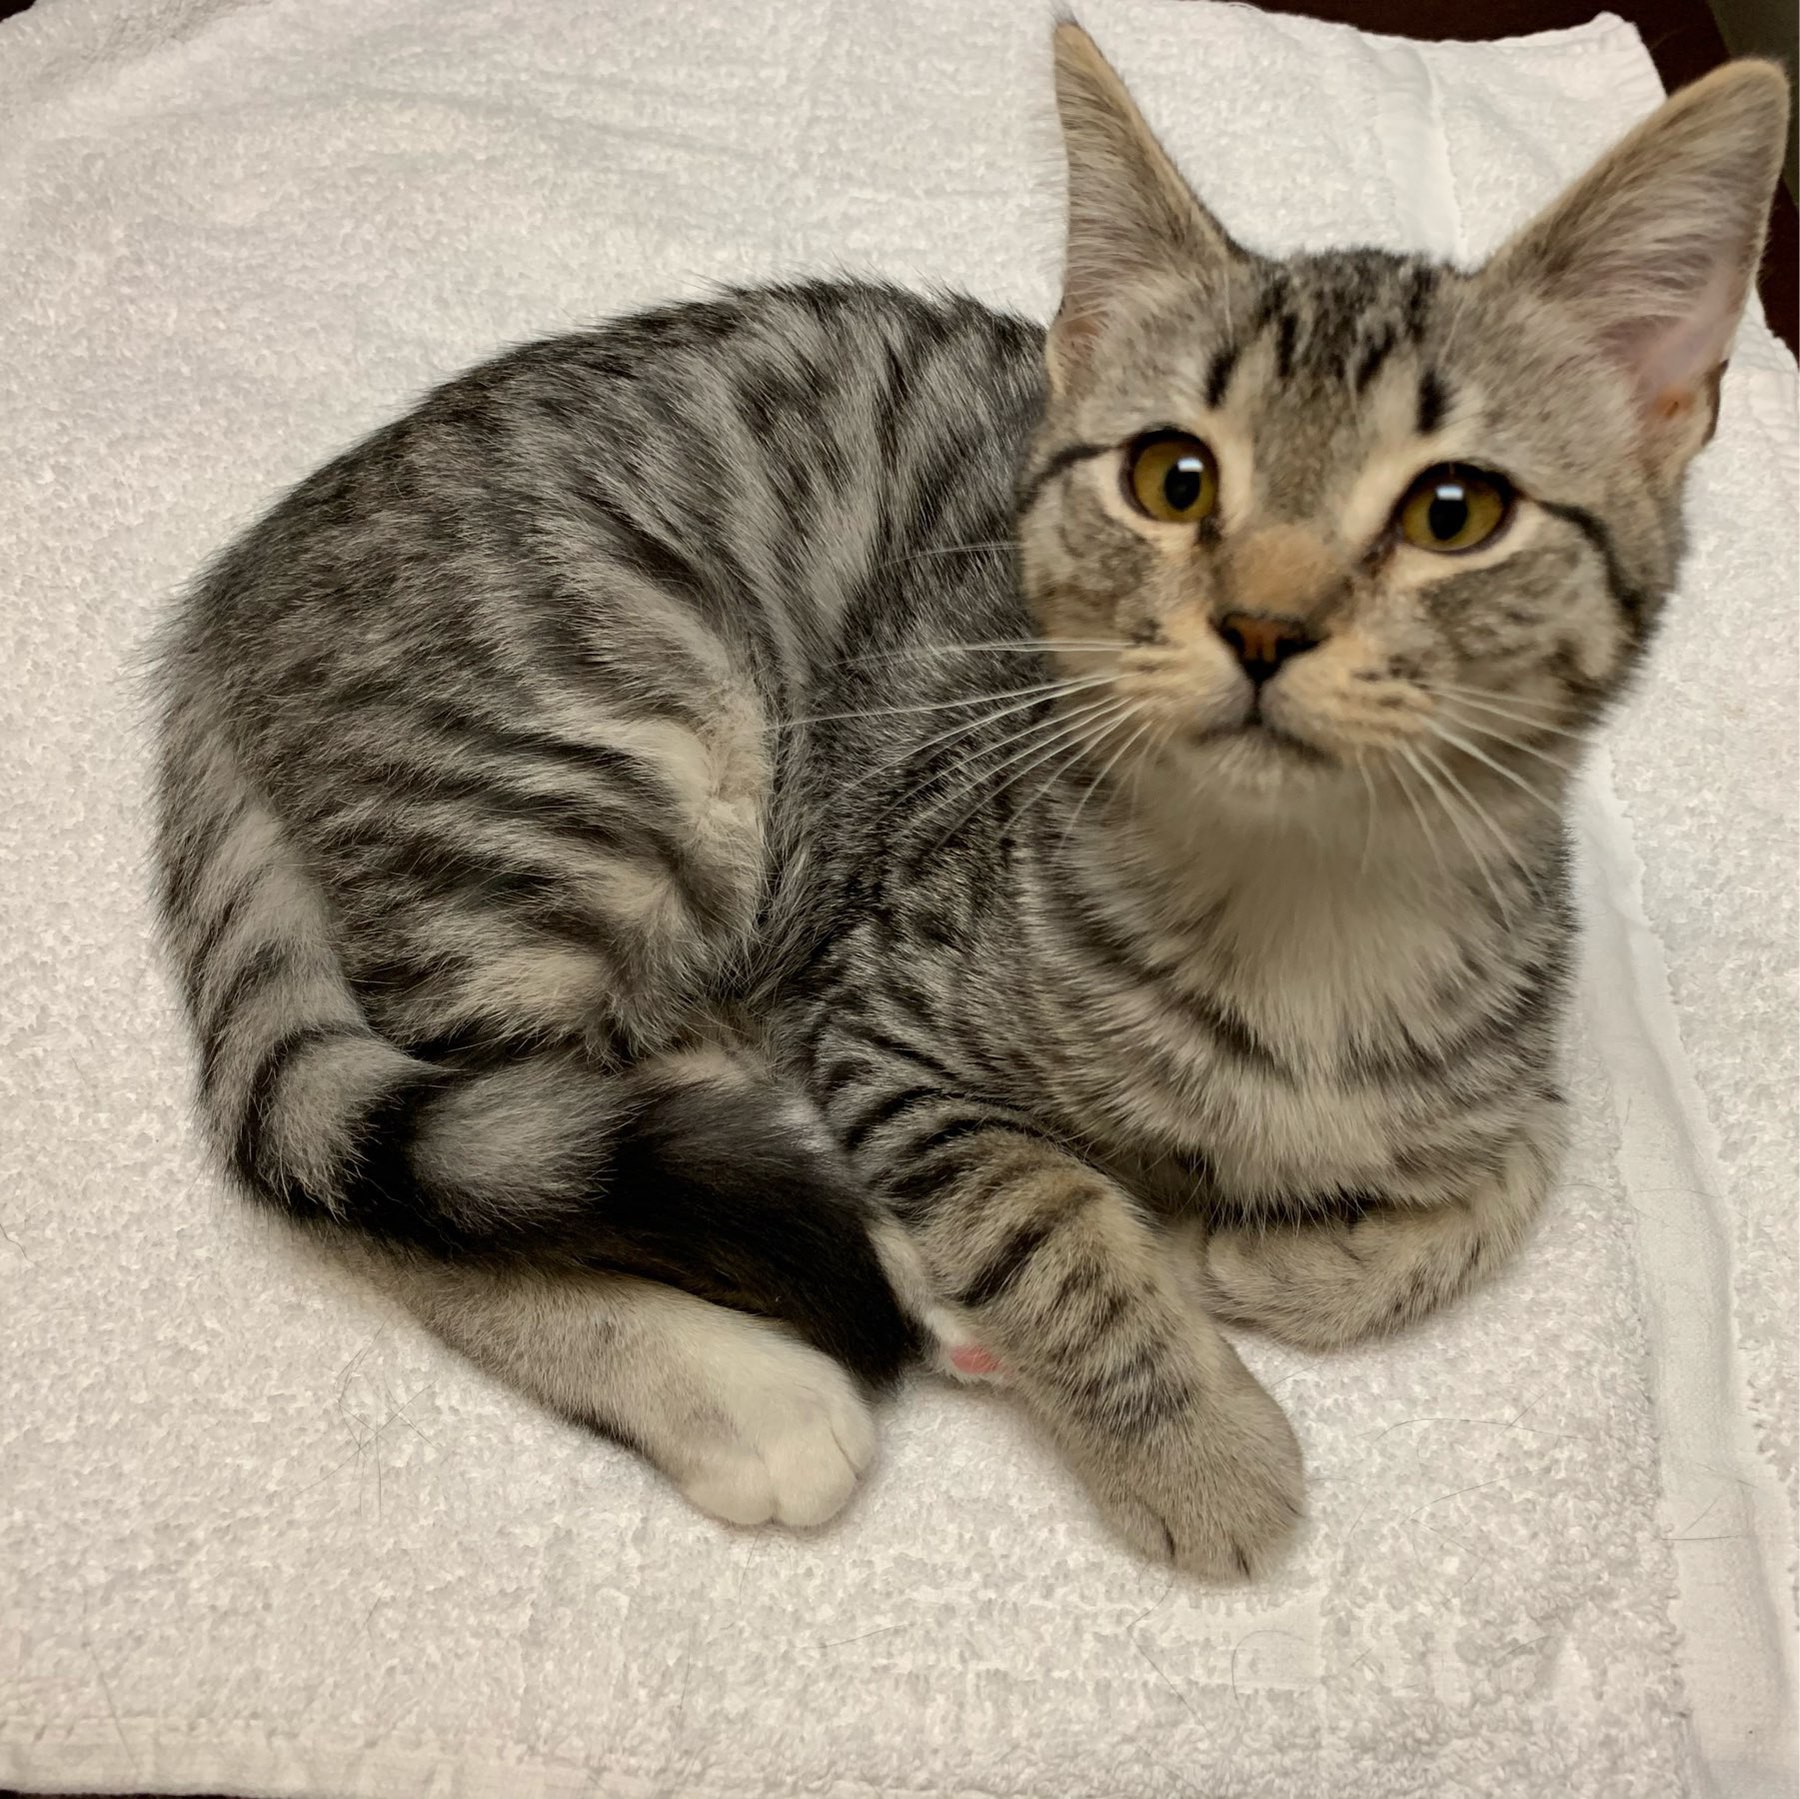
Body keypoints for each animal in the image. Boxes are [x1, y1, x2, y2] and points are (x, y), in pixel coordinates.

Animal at [151, 24, 1785, 1577]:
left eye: (1457, 512)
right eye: (1174, 479)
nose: (1264, 624)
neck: (1305, 909)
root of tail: (230, 592)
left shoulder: (1518, 1034)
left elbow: (1524, 1167)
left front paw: (1296, 1261)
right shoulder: (883, 998)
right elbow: (1039, 1209)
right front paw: (1194, 1443)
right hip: (620, 753)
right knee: (437, 1178)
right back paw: (760, 1373)